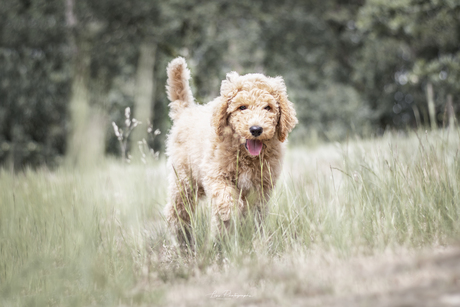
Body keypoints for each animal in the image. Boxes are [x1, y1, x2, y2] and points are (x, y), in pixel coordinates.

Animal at [164, 56, 296, 243]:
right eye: (242, 107)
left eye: (268, 107)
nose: (256, 129)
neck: (246, 155)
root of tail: (186, 111)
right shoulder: (216, 174)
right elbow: (225, 198)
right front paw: (230, 213)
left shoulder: (261, 186)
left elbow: (255, 213)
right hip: (183, 179)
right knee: (176, 210)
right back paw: (182, 238)